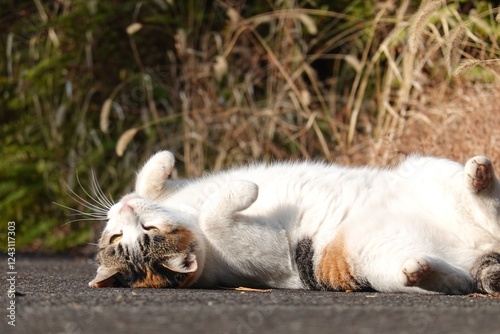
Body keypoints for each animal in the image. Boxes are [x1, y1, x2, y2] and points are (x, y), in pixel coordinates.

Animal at [88, 151, 500, 294]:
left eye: (147, 230)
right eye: (120, 236)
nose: (125, 210)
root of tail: (480, 253)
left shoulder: (173, 192)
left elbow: (149, 177)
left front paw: (162, 162)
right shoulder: (268, 253)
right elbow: (214, 214)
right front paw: (247, 187)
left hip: (427, 169)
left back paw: (479, 177)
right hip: (370, 261)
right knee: (458, 281)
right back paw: (421, 270)